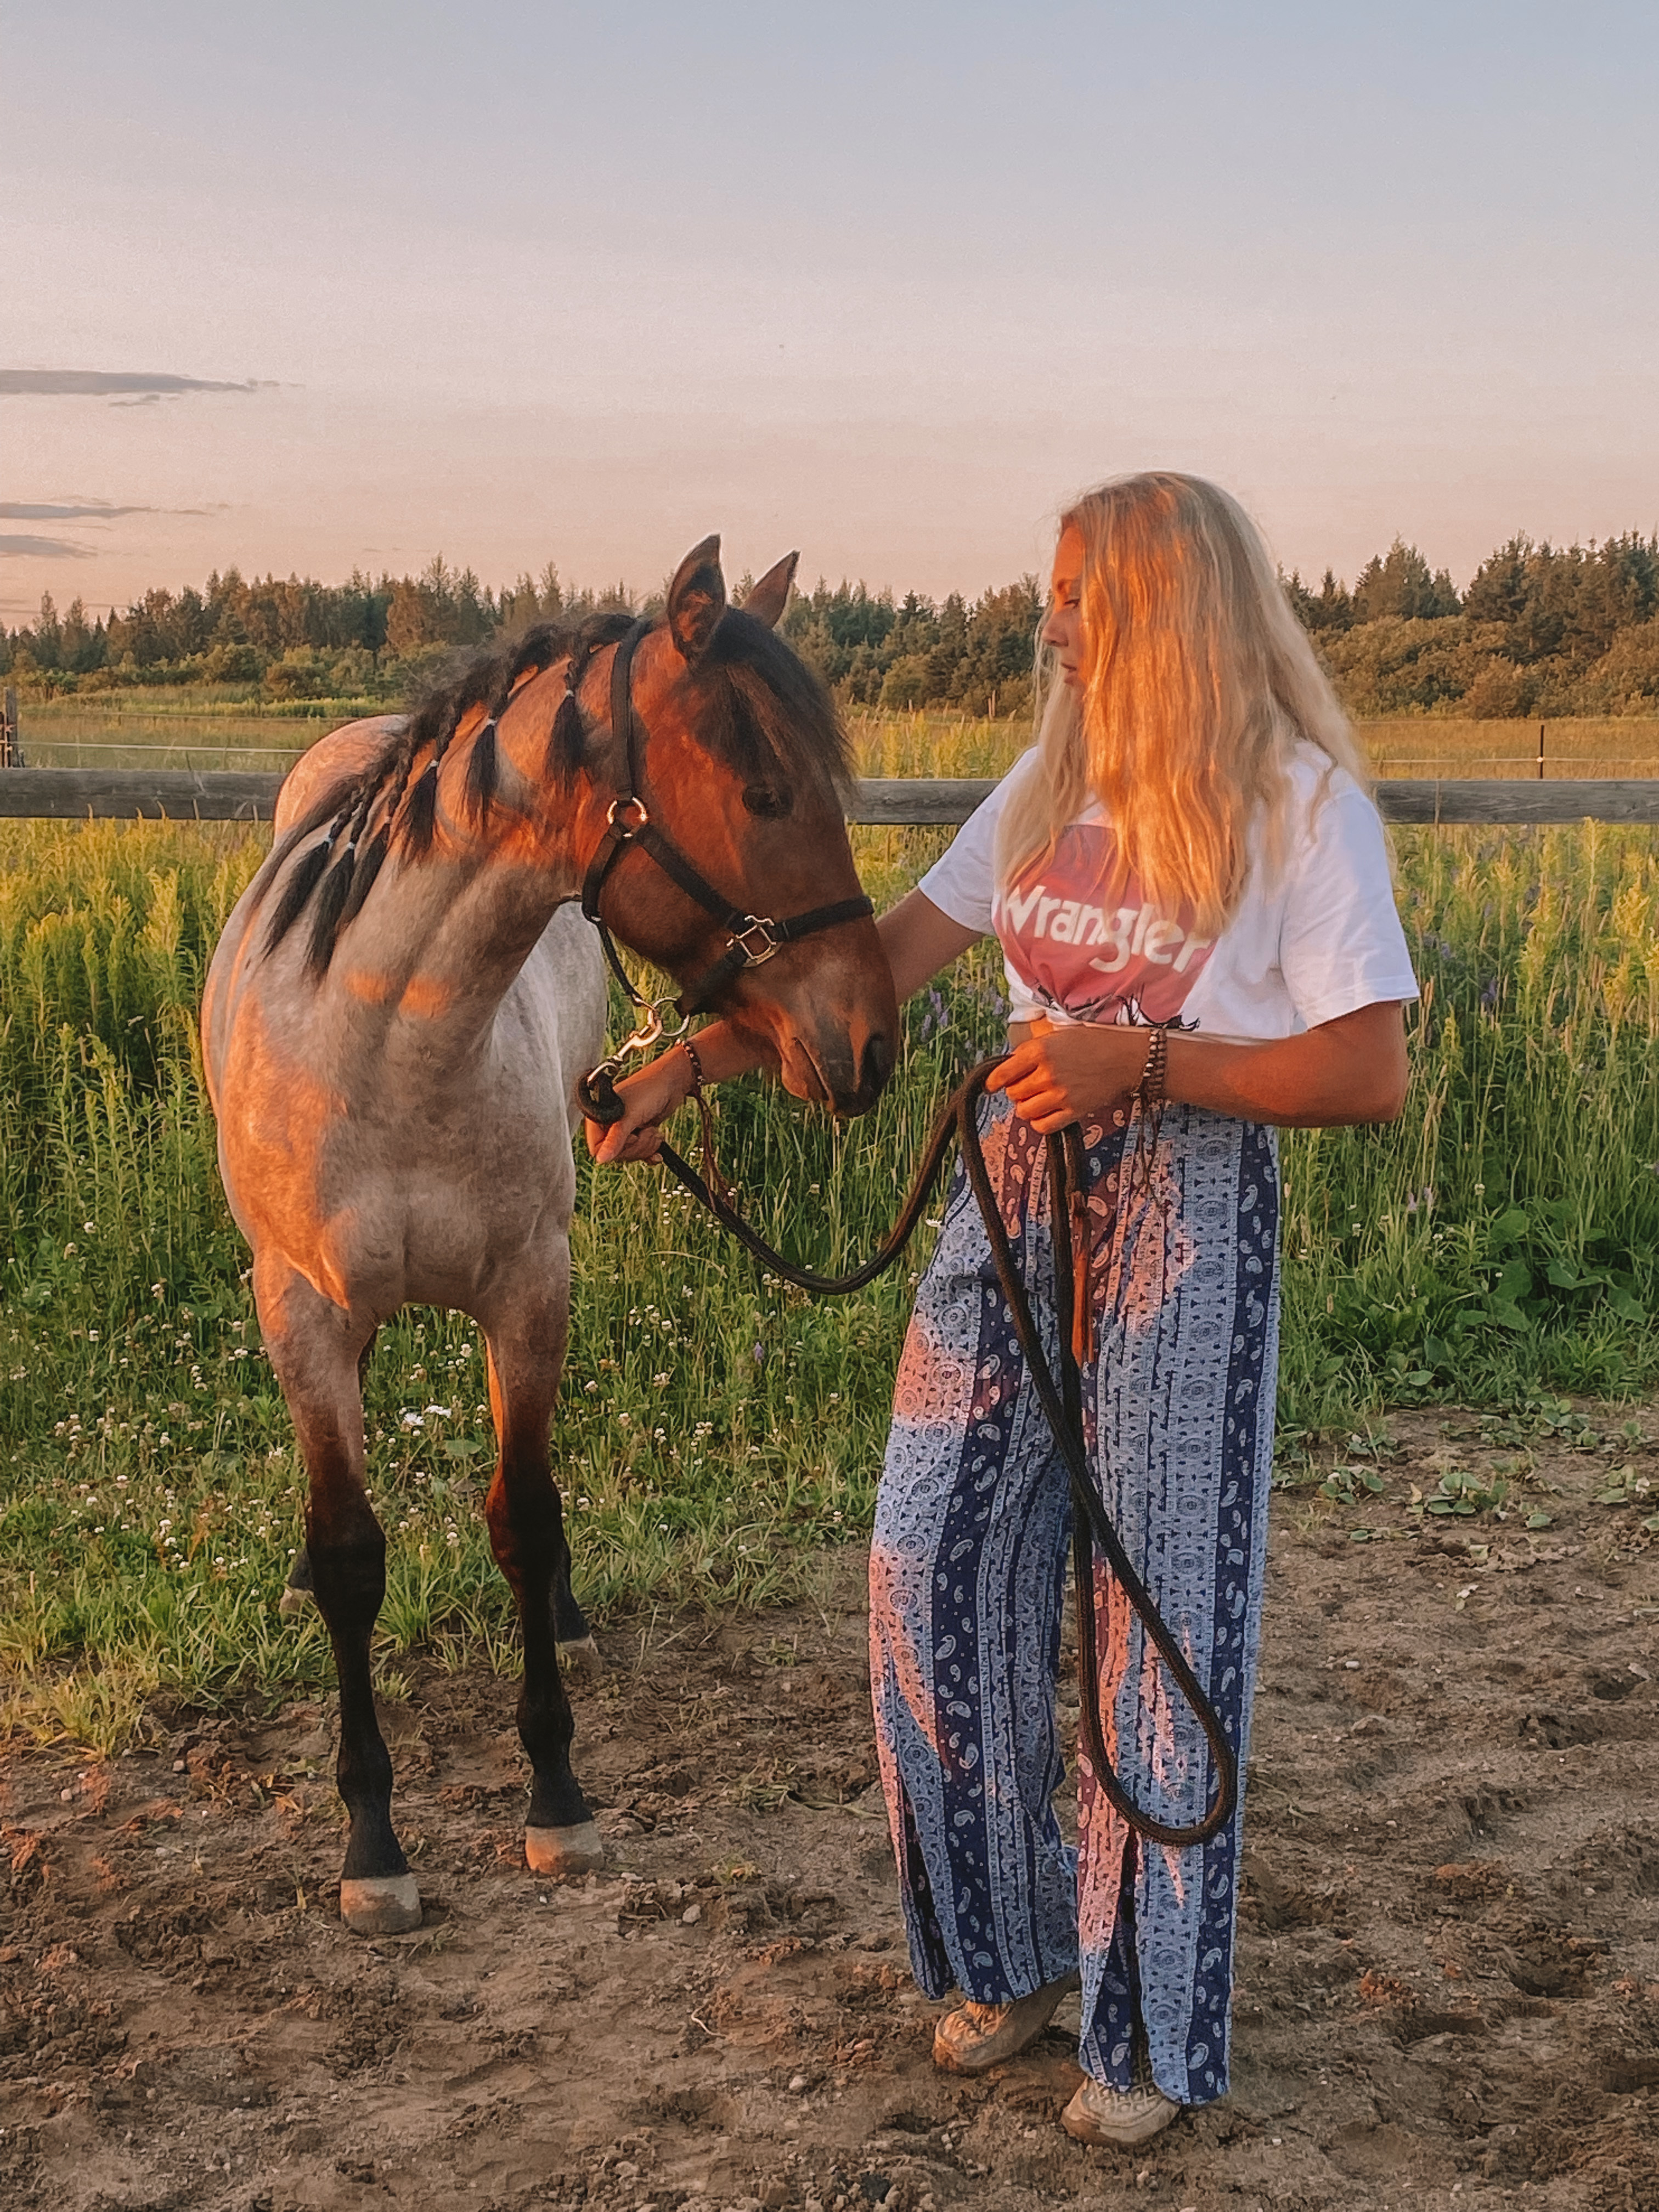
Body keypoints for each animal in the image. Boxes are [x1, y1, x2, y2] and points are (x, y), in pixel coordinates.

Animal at [201, 539, 902, 1938]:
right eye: (764, 792)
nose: (868, 1042)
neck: (389, 1043)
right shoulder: (303, 1313)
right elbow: (352, 1555)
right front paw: (373, 1841)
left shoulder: (529, 1297)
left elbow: (524, 1518)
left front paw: (557, 1795)